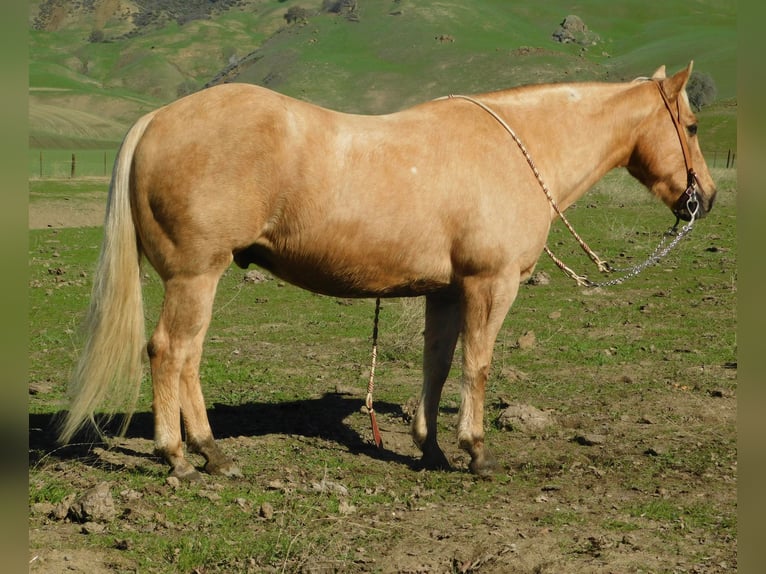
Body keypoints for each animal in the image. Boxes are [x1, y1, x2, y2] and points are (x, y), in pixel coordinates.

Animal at [60, 63, 720, 482]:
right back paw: (180, 457)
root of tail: (158, 119)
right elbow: (479, 365)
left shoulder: (447, 292)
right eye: (690, 127)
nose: (705, 199)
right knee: (171, 352)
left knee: (188, 356)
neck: (517, 149)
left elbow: (439, 365)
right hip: (195, 277)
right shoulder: (491, 285)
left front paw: (431, 449)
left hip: (198, 280)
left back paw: (212, 454)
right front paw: (476, 451)